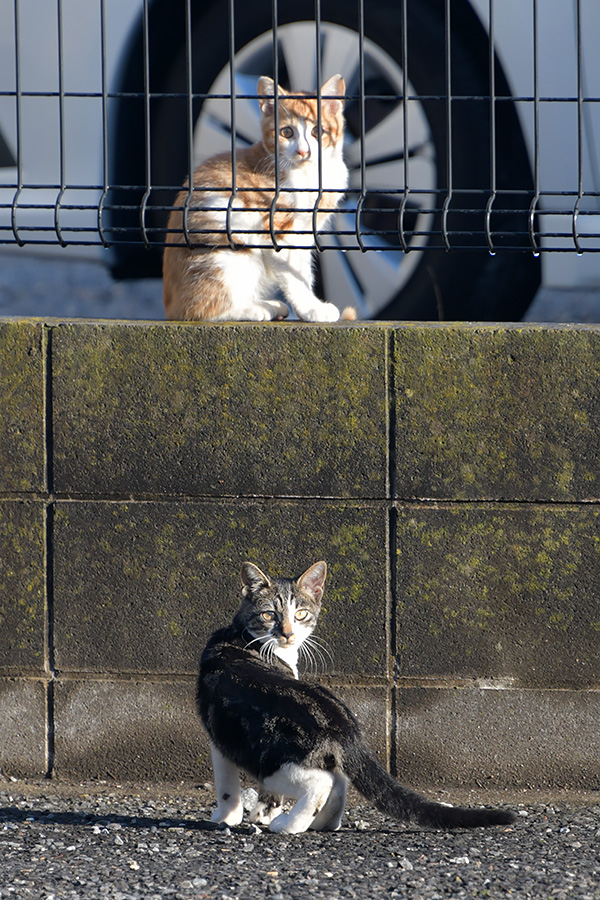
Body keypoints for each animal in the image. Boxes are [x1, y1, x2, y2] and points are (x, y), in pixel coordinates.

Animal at [162, 75, 354, 324]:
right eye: (287, 133)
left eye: (318, 131)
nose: (303, 152)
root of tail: (170, 307)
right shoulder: (277, 230)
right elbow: (293, 275)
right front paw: (312, 309)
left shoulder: (304, 232)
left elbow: (302, 270)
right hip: (229, 252)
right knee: (199, 310)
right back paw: (255, 309)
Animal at [195, 564, 512, 836]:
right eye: (269, 615)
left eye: (300, 614)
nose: (287, 633)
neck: (245, 637)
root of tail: (343, 725)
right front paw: (262, 812)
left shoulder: (220, 735)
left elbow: (226, 783)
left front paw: (227, 816)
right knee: (339, 782)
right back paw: (321, 822)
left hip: (270, 759)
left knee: (322, 782)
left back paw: (290, 825)